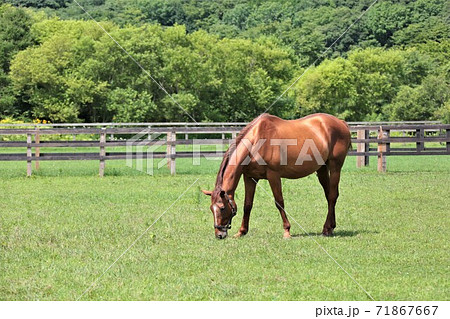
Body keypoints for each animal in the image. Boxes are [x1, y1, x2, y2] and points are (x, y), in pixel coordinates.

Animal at [202, 113, 354, 240]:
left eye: (222, 208)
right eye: (211, 209)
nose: (219, 234)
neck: (256, 142)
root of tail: (341, 123)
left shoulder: (273, 175)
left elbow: (279, 202)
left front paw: (287, 231)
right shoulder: (249, 178)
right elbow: (247, 205)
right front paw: (241, 231)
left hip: (335, 167)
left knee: (332, 196)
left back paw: (327, 229)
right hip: (321, 169)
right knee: (328, 195)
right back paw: (329, 227)